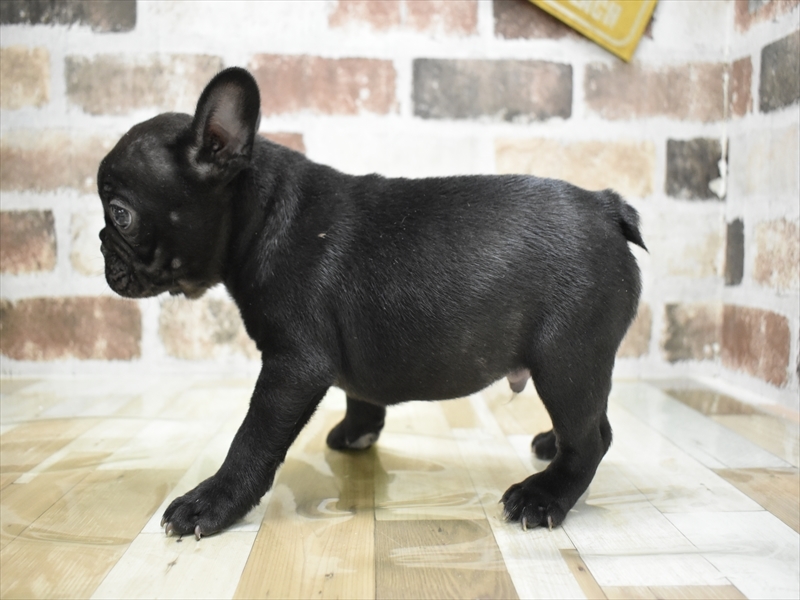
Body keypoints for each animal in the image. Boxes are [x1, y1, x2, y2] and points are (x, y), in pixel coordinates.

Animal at [98, 67, 645, 539]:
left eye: (120, 214)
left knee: (590, 438)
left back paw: (544, 495)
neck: (263, 212)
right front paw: (357, 432)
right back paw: (550, 445)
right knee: (593, 420)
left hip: (566, 356)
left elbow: (252, 438)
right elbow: (359, 393)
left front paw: (212, 501)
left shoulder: (293, 365)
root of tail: (605, 206)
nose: (101, 245)